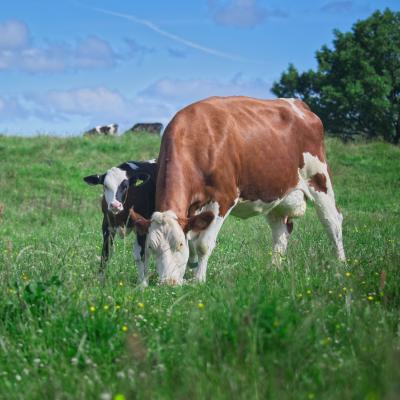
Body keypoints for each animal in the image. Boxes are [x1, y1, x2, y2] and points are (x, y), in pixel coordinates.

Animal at [83, 158, 157, 286]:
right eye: (105, 186)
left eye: (125, 186)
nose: (115, 205)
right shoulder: (107, 226)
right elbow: (105, 253)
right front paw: (100, 280)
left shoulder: (142, 226)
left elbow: (141, 255)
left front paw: (142, 284)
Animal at [130, 96, 346, 284]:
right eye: (151, 247)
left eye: (179, 245)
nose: (167, 283)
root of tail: (299, 105)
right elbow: (193, 240)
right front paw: (190, 273)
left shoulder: (223, 199)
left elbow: (202, 244)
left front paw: (198, 280)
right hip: (276, 194)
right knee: (281, 232)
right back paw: (274, 269)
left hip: (319, 179)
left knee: (332, 222)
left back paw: (341, 265)